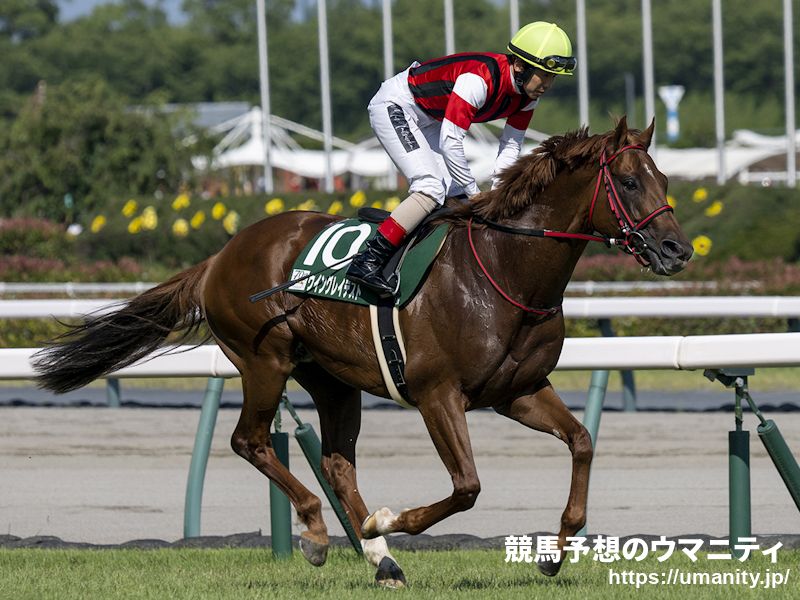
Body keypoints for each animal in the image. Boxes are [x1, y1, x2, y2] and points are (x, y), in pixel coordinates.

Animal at [32, 117, 692, 584]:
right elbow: (468, 486)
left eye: (665, 181)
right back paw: (321, 534)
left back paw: (381, 559)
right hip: (265, 360)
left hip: (332, 378)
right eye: (629, 181)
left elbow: (582, 441)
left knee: (336, 462)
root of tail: (221, 254)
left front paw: (555, 553)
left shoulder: (518, 391)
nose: (677, 250)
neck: (504, 271)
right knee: (251, 441)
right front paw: (391, 521)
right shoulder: (437, 394)